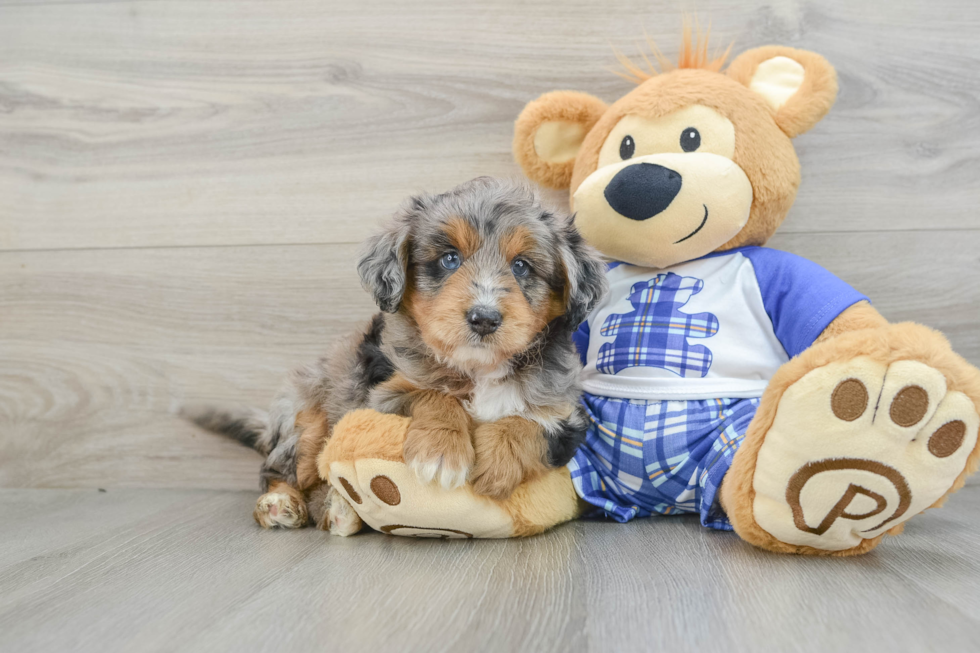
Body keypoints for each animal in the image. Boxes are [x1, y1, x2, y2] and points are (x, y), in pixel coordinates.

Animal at [184, 176, 604, 532]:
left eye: (521, 266)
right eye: (449, 259)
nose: (484, 318)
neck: (477, 369)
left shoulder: (569, 416)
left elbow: (528, 424)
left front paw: (496, 465)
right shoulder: (377, 397)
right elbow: (433, 394)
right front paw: (441, 453)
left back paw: (338, 509)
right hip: (309, 416)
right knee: (279, 469)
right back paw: (285, 505)